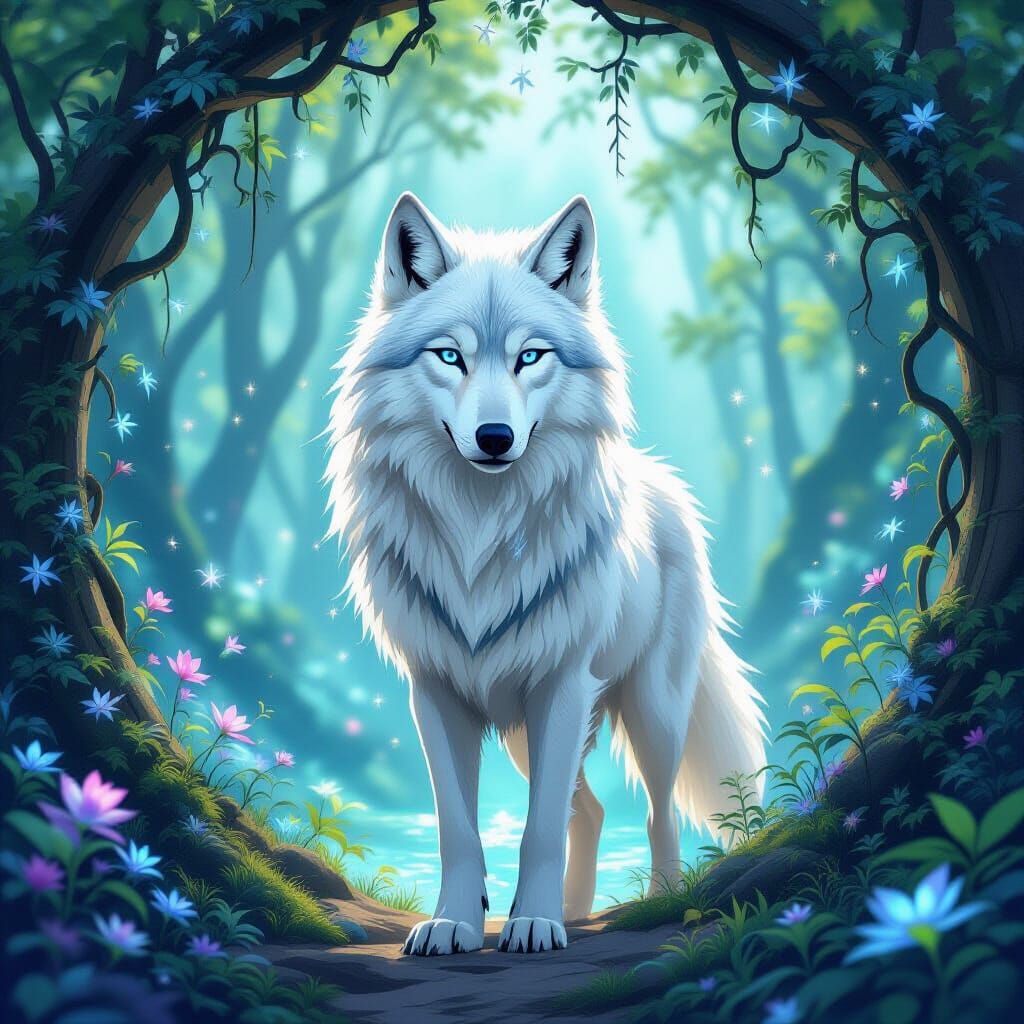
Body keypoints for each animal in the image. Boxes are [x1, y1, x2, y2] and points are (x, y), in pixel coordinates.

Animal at [324, 193, 766, 956]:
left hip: (649, 711)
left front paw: (532, 923)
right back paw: (579, 911)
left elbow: (537, 831)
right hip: (528, 736)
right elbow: (459, 828)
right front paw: (453, 923)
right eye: (451, 356)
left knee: (653, 811)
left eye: (530, 356)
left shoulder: (562, 686)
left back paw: (652, 901)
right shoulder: (434, 692)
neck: (480, 532)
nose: (496, 438)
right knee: (587, 810)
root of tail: (663, 482)